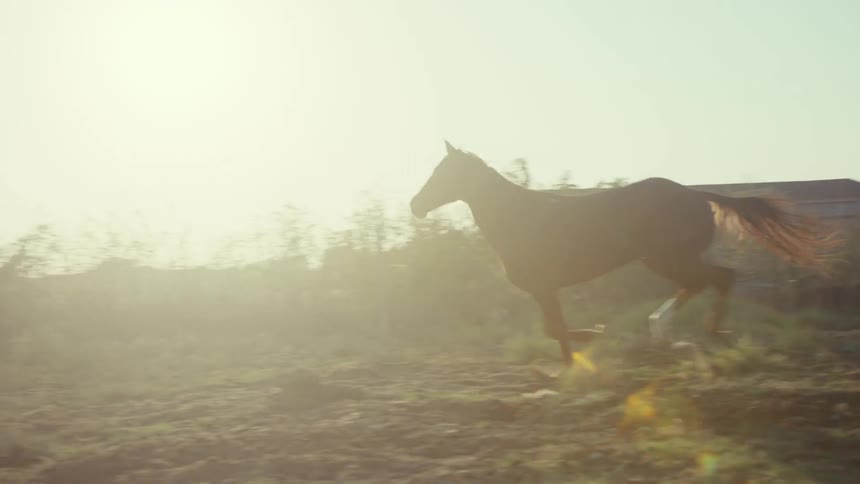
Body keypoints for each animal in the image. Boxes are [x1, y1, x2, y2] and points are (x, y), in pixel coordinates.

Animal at [410, 141, 840, 366]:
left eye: (444, 174)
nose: (415, 205)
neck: (519, 218)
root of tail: (697, 194)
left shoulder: (546, 287)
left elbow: (558, 331)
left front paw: (593, 338)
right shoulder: (546, 291)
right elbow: (556, 332)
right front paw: (579, 356)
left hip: (666, 258)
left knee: (719, 278)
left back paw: (692, 332)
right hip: (667, 259)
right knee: (708, 281)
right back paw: (668, 331)